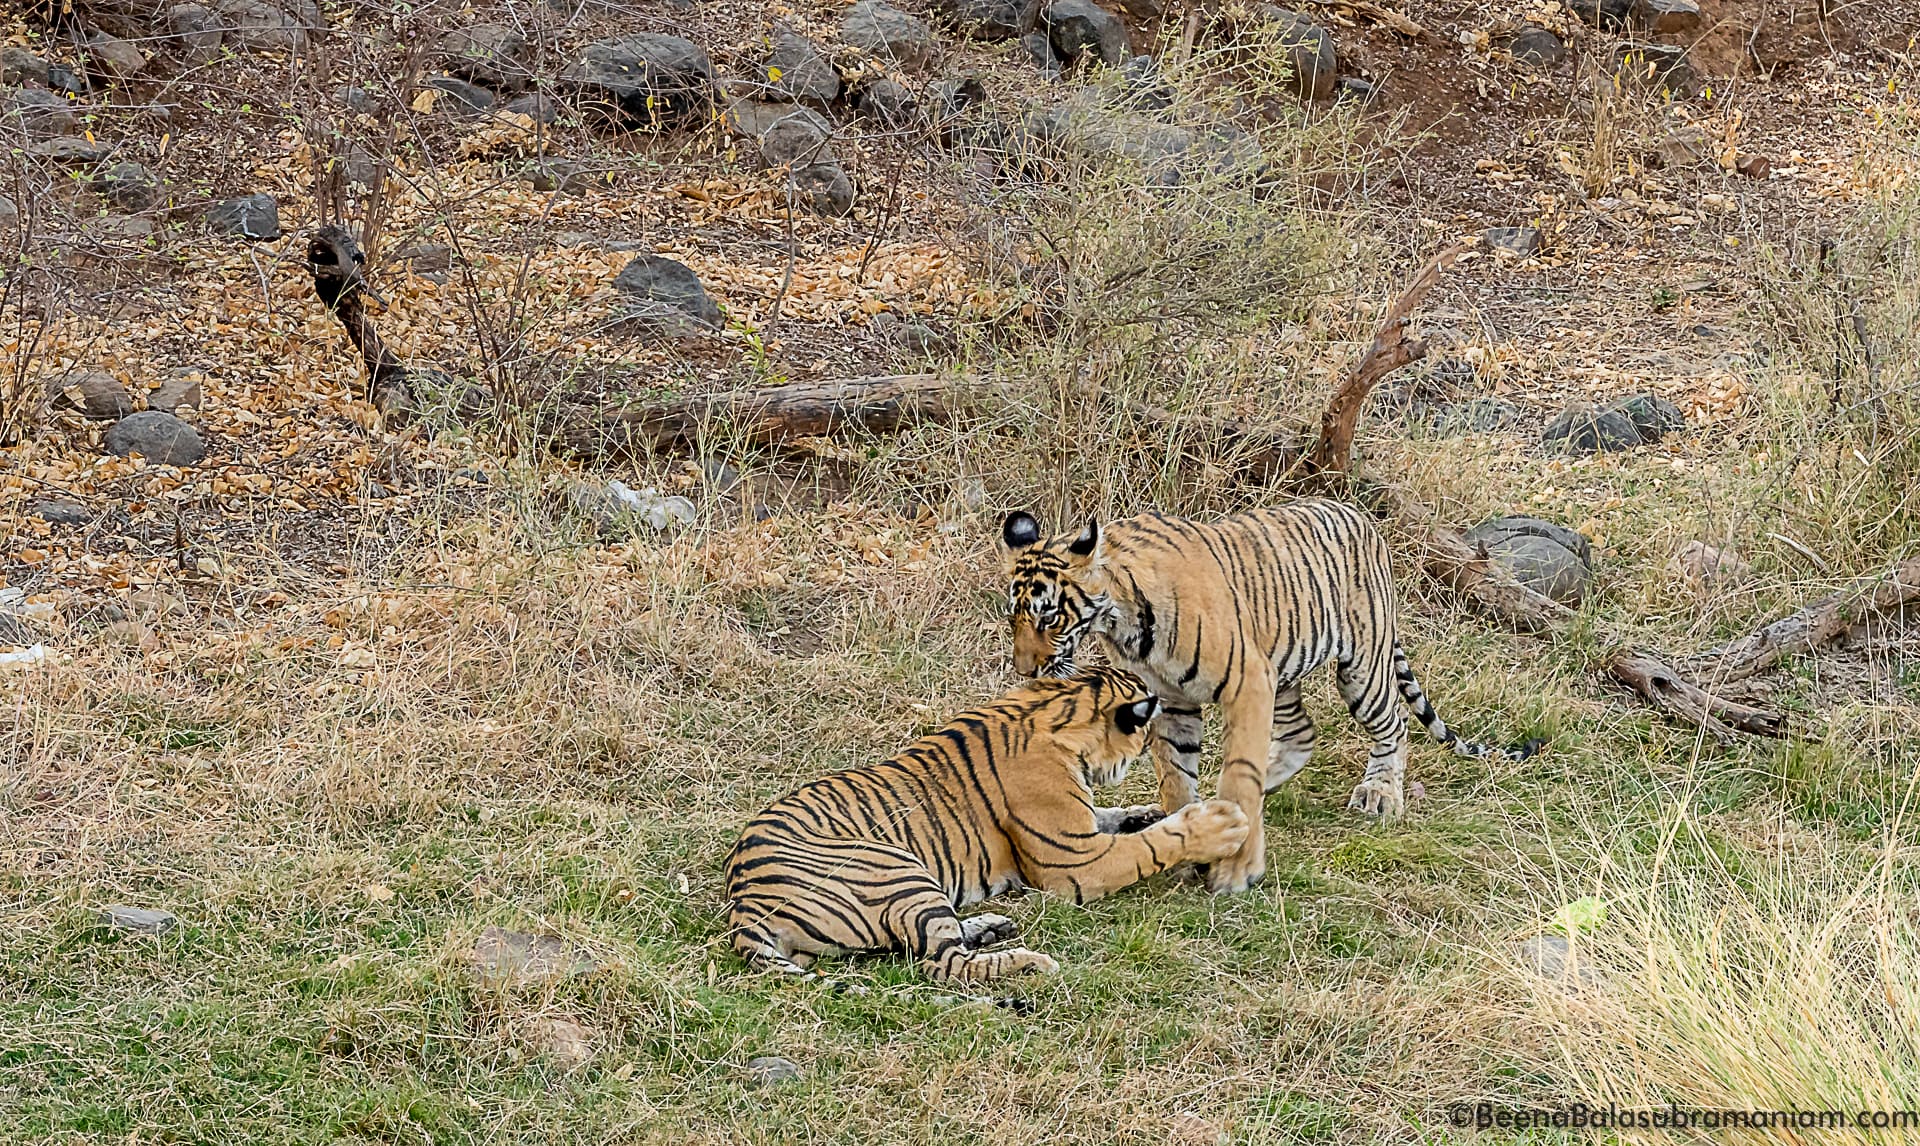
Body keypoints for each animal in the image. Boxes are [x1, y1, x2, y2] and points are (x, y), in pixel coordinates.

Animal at [725, 664, 1251, 990]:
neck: (1055, 707)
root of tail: (743, 902)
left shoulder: (1082, 827)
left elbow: (1119, 818)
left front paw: (1148, 812)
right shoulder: (1075, 862)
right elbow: (1149, 846)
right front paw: (1218, 825)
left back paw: (991, 926)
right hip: (895, 866)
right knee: (943, 964)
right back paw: (1032, 961)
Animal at [998, 499, 1536, 894]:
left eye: (1049, 615)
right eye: (1014, 615)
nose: (1025, 669)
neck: (1123, 620)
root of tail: (1366, 520)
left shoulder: (1246, 679)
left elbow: (1238, 771)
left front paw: (1234, 868)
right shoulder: (1171, 700)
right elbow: (1176, 778)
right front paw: (1191, 838)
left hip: (1360, 669)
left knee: (1394, 726)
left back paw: (1379, 793)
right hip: (1285, 672)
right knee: (1302, 734)